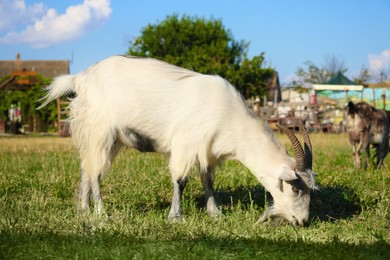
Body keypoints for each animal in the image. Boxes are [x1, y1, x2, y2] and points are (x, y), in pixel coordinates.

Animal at [38, 54, 316, 225]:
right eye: (294, 187)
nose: (303, 221)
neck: (231, 118)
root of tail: (81, 78)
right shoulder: (186, 144)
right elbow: (180, 180)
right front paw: (176, 217)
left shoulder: (208, 151)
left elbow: (208, 181)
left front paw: (216, 214)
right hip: (100, 131)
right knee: (95, 172)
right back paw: (101, 212)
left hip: (103, 137)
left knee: (87, 168)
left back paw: (83, 209)